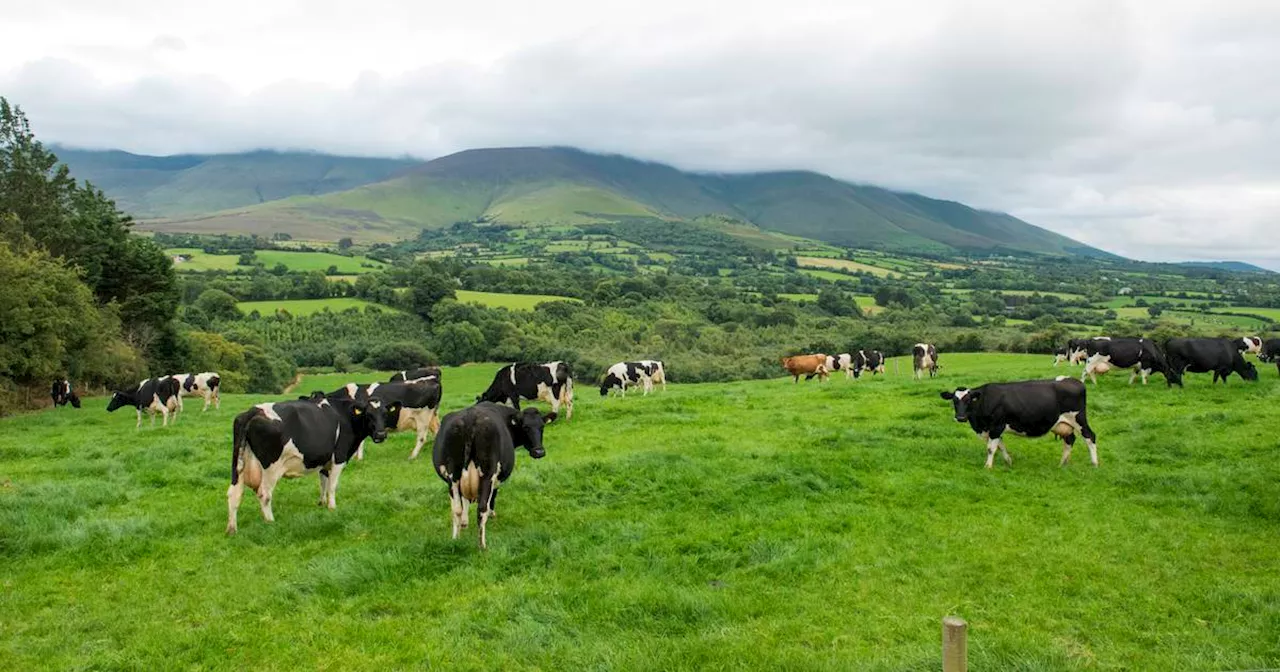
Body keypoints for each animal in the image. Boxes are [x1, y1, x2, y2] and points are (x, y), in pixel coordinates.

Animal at [225, 396, 386, 532]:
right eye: (368, 414)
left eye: (385, 414)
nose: (381, 434)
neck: (346, 415)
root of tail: (253, 410)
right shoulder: (339, 457)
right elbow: (332, 486)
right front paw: (332, 507)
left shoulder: (324, 460)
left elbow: (323, 482)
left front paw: (322, 503)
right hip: (271, 468)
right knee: (264, 494)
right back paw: (270, 522)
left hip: (238, 466)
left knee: (234, 493)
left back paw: (232, 529)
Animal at [432, 401, 552, 547]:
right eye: (525, 427)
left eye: (542, 426)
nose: (539, 452)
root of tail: (469, 419)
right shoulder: (496, 478)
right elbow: (493, 496)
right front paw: (491, 513)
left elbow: (463, 501)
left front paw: (464, 523)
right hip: (487, 474)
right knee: (481, 508)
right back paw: (482, 545)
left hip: (453, 475)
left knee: (456, 508)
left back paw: (455, 538)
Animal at [942, 373, 1100, 468]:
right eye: (954, 401)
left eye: (969, 400)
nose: (960, 417)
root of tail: (1074, 380)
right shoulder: (993, 429)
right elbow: (1001, 446)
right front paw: (1008, 461)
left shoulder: (996, 426)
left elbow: (991, 448)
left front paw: (988, 466)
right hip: (1064, 423)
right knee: (1070, 440)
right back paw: (1062, 463)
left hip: (1079, 419)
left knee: (1090, 437)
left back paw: (1094, 463)